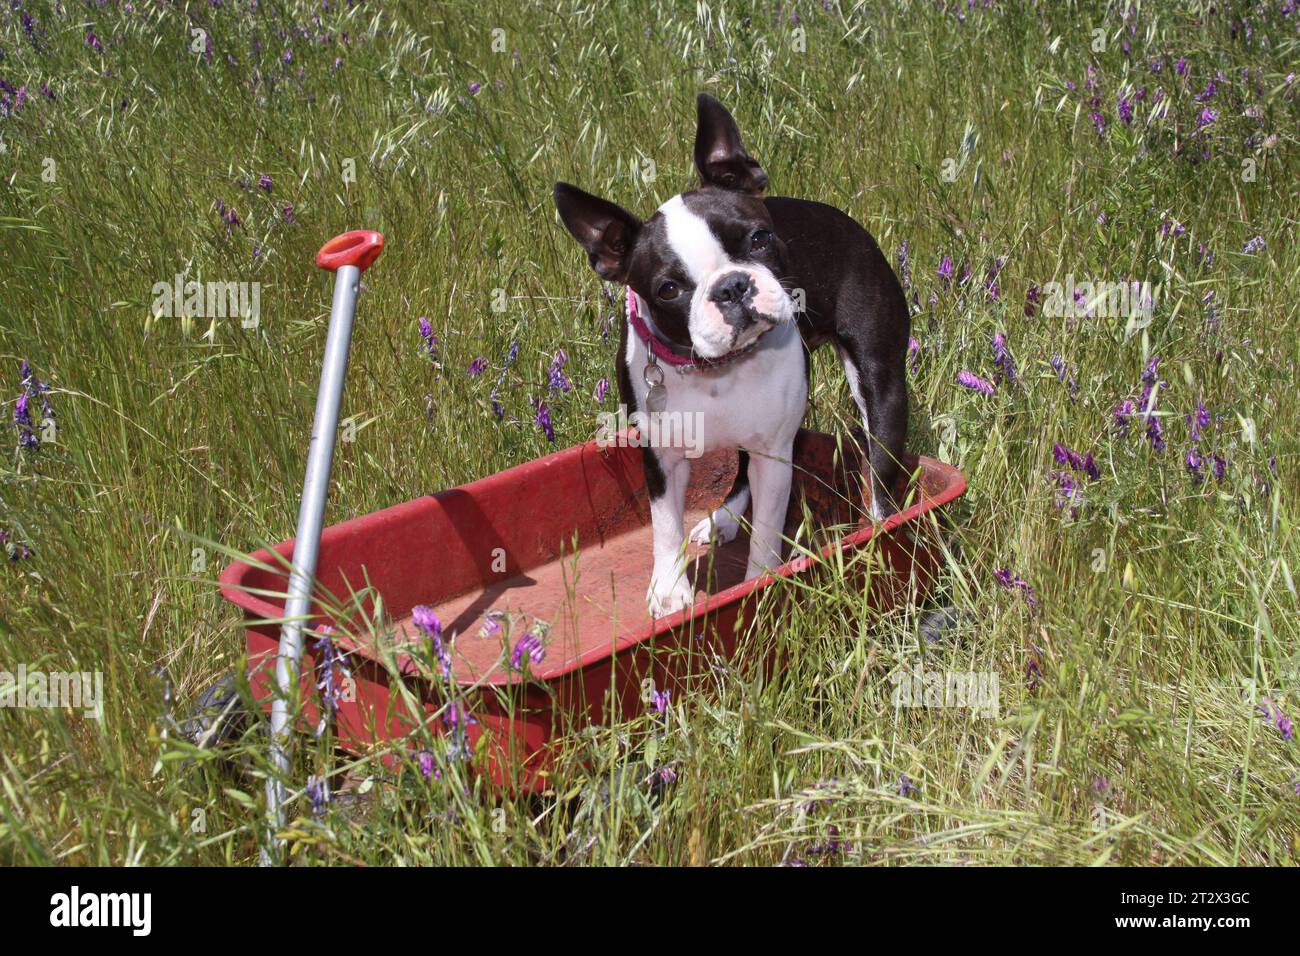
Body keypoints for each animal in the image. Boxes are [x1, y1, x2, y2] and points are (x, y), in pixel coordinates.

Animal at [548, 93, 904, 616]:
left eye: (759, 239)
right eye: (668, 289)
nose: (732, 286)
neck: (713, 368)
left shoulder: (773, 450)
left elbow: (769, 528)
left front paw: (759, 583)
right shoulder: (662, 457)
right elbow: (664, 526)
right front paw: (670, 589)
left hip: (879, 379)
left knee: (878, 465)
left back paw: (880, 530)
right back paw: (723, 518)